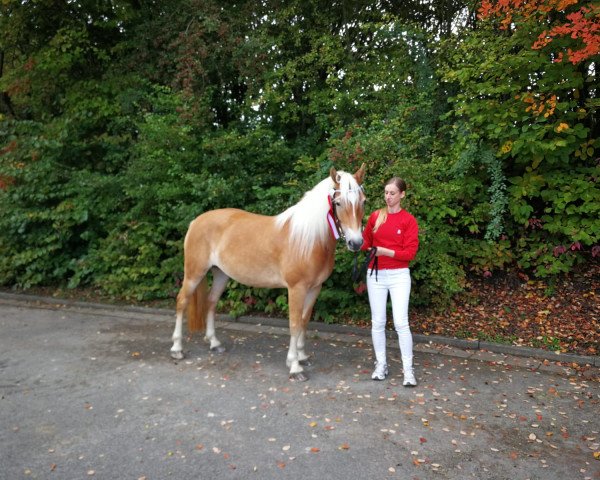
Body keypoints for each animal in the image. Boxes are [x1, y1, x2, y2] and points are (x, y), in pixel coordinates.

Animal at [169, 163, 366, 380]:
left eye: (363, 201)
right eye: (338, 203)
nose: (356, 243)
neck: (307, 239)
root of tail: (196, 221)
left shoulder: (315, 288)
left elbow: (304, 321)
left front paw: (302, 356)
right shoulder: (296, 289)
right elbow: (294, 323)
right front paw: (295, 366)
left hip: (221, 274)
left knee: (211, 302)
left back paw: (214, 343)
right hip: (194, 273)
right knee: (181, 302)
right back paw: (177, 349)